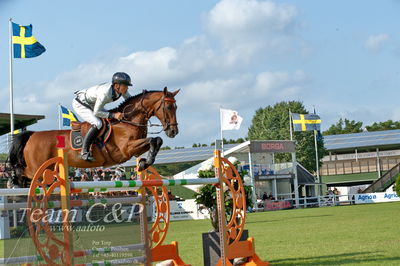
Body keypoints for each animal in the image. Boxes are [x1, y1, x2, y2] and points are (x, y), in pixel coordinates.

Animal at [8, 87, 180, 187]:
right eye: (168, 107)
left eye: (176, 107)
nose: (173, 132)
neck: (127, 120)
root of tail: (32, 135)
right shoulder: (126, 149)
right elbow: (154, 140)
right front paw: (145, 162)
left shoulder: (135, 149)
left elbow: (156, 141)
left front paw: (144, 162)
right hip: (36, 168)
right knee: (22, 172)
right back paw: (13, 183)